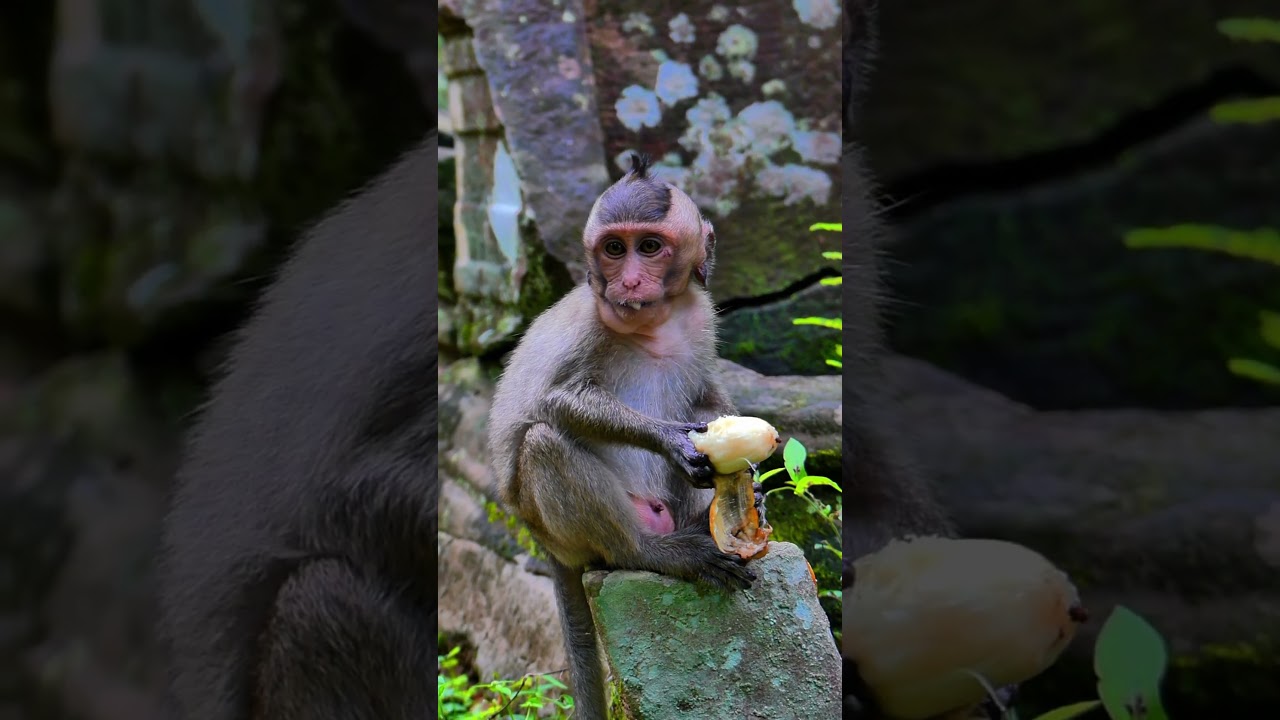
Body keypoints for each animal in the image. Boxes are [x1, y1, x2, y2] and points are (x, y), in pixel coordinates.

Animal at [487, 153, 761, 719]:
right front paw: (673, 442)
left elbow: (707, 396)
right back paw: (651, 554)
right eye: (614, 249)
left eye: (649, 247)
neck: (655, 325)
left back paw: (704, 522)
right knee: (543, 443)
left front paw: (754, 484)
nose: (629, 283)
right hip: (563, 532)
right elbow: (552, 401)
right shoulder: (589, 323)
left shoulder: (701, 316)